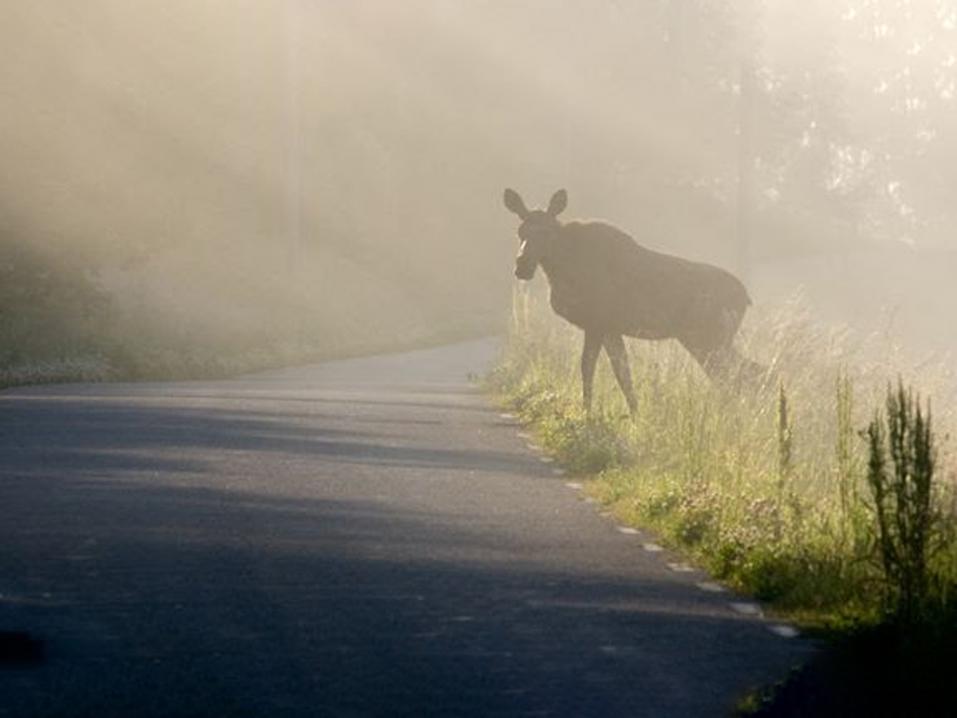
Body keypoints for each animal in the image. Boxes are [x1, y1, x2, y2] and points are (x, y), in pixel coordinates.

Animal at [504, 188, 760, 416]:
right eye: (520, 231)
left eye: (547, 232)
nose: (522, 266)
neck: (560, 269)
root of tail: (746, 298)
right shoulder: (609, 328)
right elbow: (622, 373)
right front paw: (634, 415)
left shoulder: (597, 323)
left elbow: (590, 368)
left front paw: (589, 414)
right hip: (706, 340)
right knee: (746, 372)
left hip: (708, 339)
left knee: (738, 375)